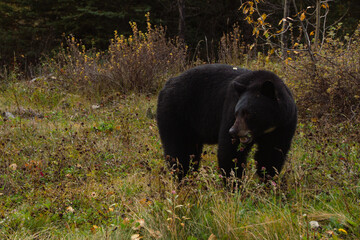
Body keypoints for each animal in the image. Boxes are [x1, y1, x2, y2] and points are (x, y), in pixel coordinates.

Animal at [156, 64, 296, 181]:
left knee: (192, 154)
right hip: (175, 114)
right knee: (178, 151)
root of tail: (166, 85)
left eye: (248, 113)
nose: (233, 131)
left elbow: (271, 155)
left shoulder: (283, 125)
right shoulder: (230, 106)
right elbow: (230, 152)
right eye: (237, 112)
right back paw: (181, 178)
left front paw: (268, 180)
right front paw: (234, 183)